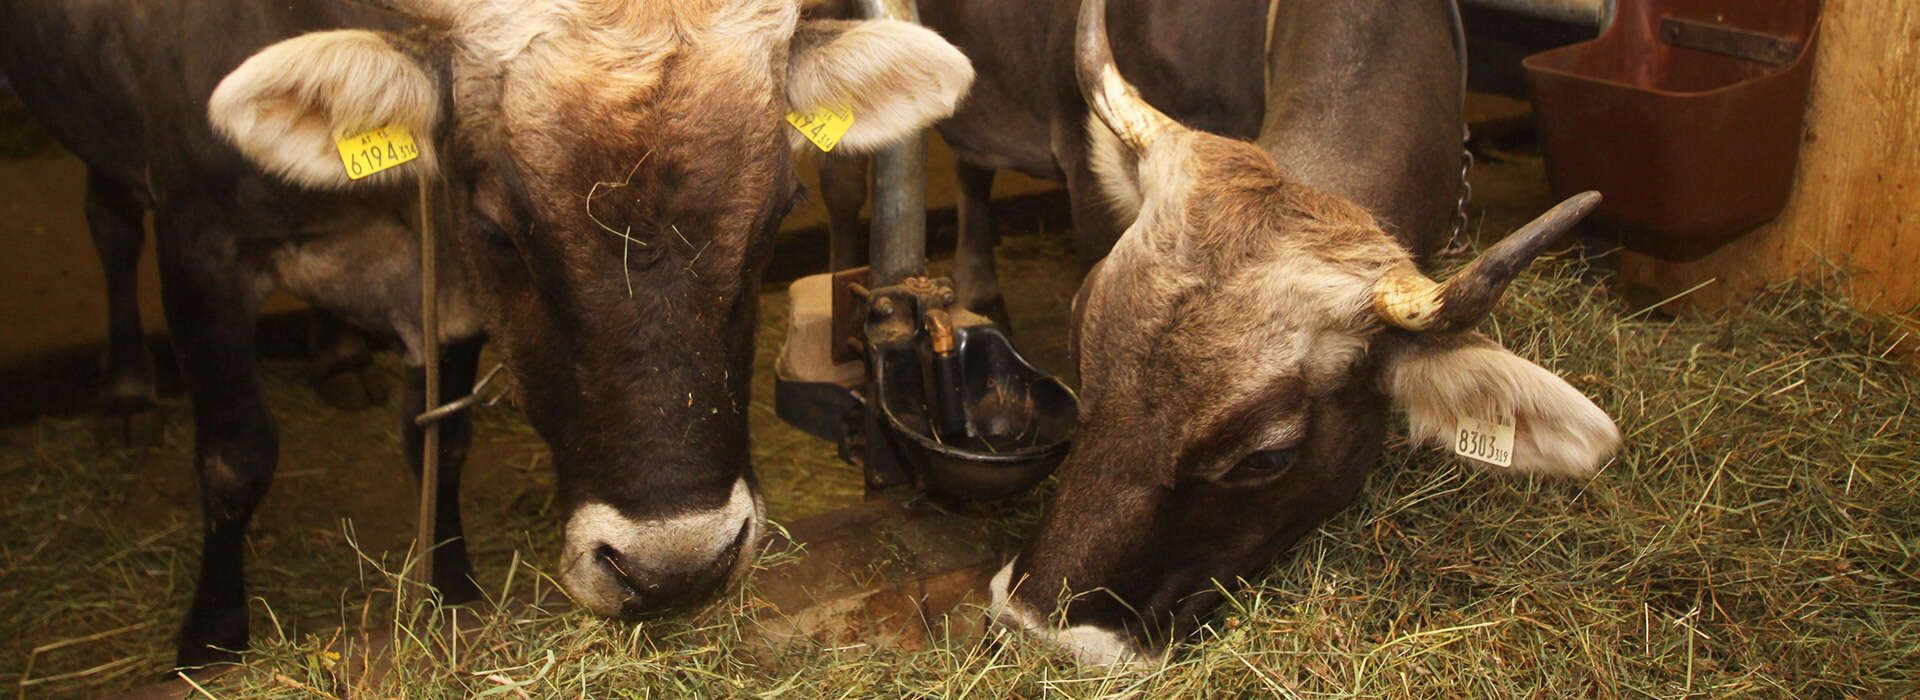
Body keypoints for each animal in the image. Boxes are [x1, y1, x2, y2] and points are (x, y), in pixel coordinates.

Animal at [0, 0, 975, 663]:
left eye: (775, 217)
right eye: (501, 230)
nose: (676, 569)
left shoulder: (447, 301)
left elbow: (442, 438)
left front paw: (452, 593)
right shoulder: (198, 242)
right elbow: (236, 456)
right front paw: (212, 638)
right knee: (108, 222)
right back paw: (128, 392)